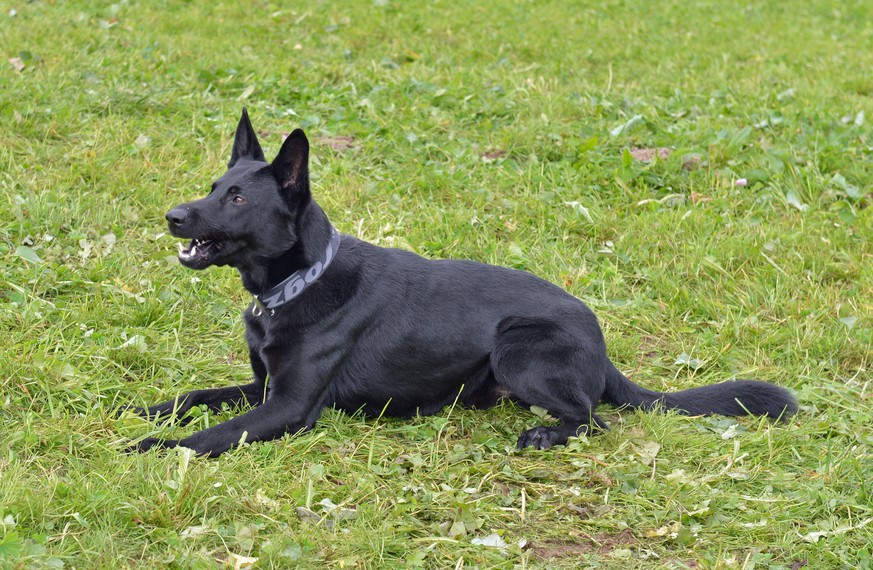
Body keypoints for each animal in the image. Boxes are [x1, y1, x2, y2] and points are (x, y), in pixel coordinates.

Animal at [131, 108, 796, 458]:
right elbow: (195, 398)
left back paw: (545, 433)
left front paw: (144, 448)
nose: (172, 216)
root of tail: (600, 346)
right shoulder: (261, 386)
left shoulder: (289, 408)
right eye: (214, 187)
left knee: (595, 418)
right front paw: (143, 410)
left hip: (519, 347)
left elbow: (206, 435)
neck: (299, 281)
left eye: (238, 198)